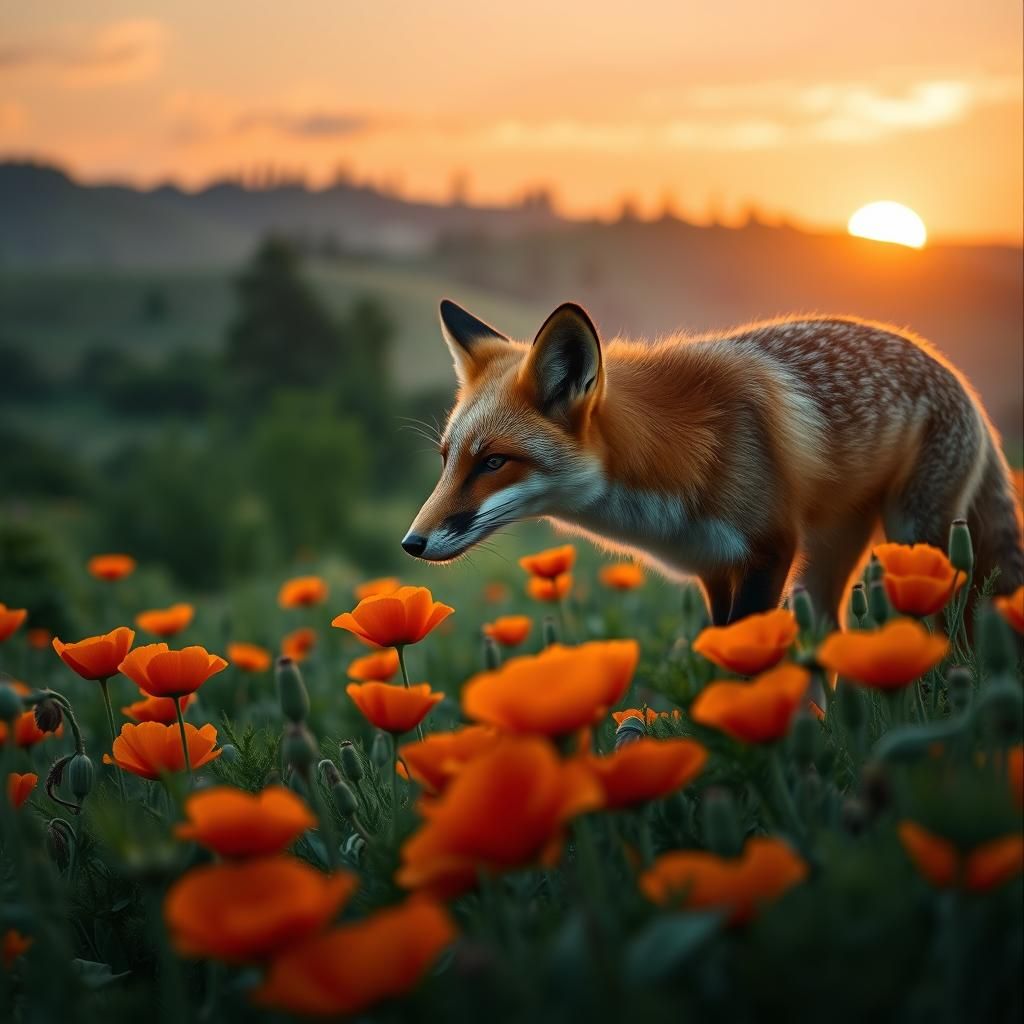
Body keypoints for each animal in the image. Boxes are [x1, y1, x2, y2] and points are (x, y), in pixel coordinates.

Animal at [402, 299, 1024, 625]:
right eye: (446, 459)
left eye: (493, 462)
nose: (412, 543)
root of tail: (963, 384)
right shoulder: (713, 568)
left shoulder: (769, 552)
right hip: (826, 566)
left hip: (912, 538)